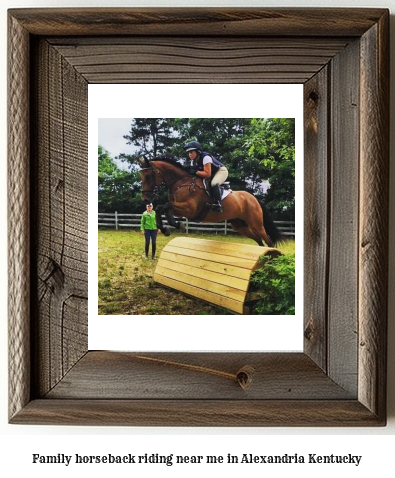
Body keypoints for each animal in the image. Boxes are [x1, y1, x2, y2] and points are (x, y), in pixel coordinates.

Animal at [139, 156, 282, 246]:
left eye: (148, 176)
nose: (145, 199)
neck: (181, 182)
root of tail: (253, 198)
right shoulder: (180, 210)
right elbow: (161, 207)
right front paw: (166, 229)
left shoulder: (190, 209)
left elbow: (166, 206)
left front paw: (178, 225)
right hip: (239, 225)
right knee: (259, 240)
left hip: (256, 224)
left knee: (268, 240)